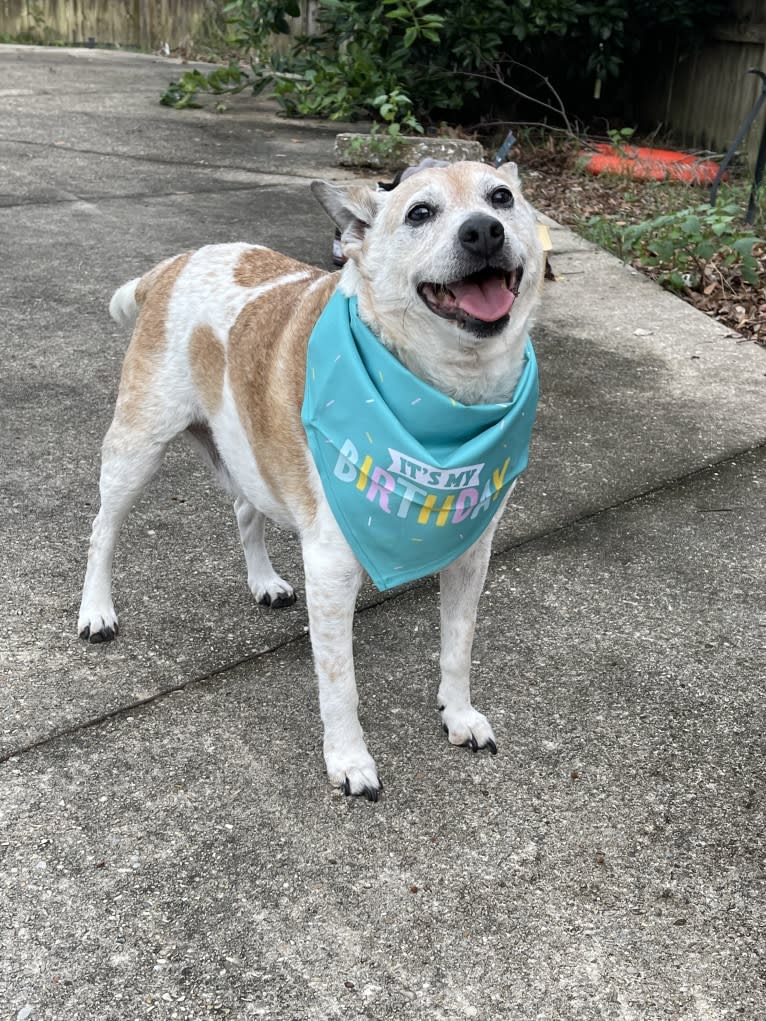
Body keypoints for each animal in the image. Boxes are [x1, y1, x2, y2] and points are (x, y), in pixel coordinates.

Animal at [78, 159, 547, 796]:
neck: (443, 403)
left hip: (242, 445)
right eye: (420, 212)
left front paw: (459, 714)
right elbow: (339, 682)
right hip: (136, 451)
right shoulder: (331, 566)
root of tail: (173, 264)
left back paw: (263, 582)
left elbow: (458, 646)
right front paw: (349, 760)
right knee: (103, 530)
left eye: (500, 198)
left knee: (244, 510)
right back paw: (95, 611)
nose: (483, 232)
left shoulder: (471, 551)